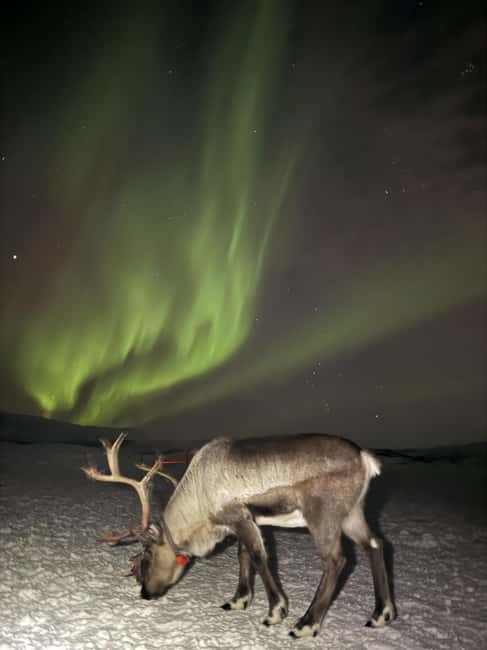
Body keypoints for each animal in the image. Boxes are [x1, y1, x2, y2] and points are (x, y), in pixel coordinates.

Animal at [82, 431, 396, 639]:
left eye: (146, 555)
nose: (145, 593)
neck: (199, 506)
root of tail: (366, 459)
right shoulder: (247, 522)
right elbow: (243, 555)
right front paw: (238, 600)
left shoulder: (239, 516)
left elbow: (258, 557)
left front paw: (275, 611)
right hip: (353, 513)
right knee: (376, 544)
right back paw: (381, 614)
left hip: (323, 514)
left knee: (336, 560)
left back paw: (305, 624)